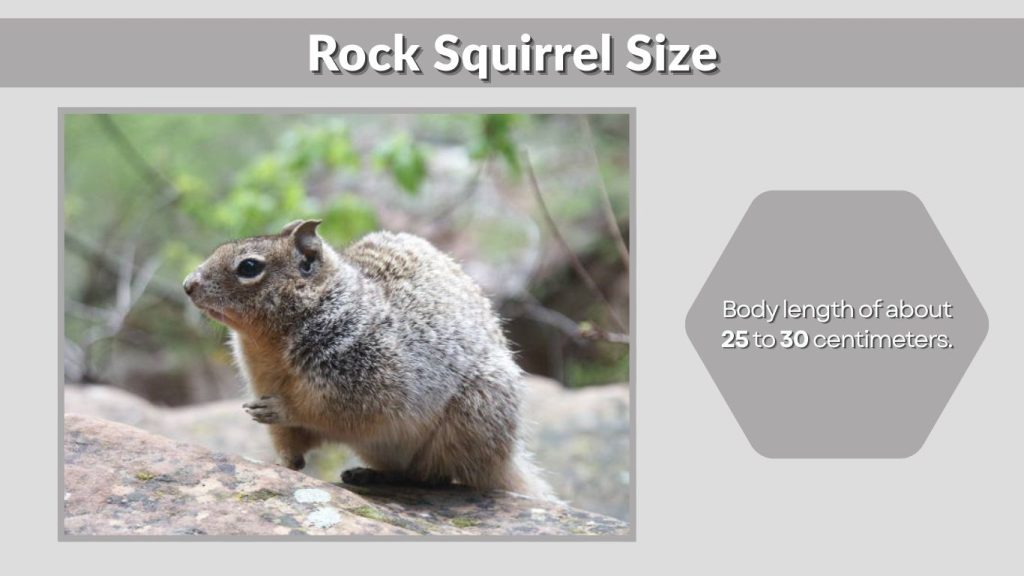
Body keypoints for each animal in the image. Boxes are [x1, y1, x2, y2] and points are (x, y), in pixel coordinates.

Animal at [183, 220, 551, 498]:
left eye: (249, 266)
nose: (187, 284)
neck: (270, 346)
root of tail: (507, 458)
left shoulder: (365, 380)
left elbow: (325, 411)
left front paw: (282, 408)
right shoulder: (263, 381)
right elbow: (290, 446)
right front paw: (282, 465)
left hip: (465, 423)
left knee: (432, 477)